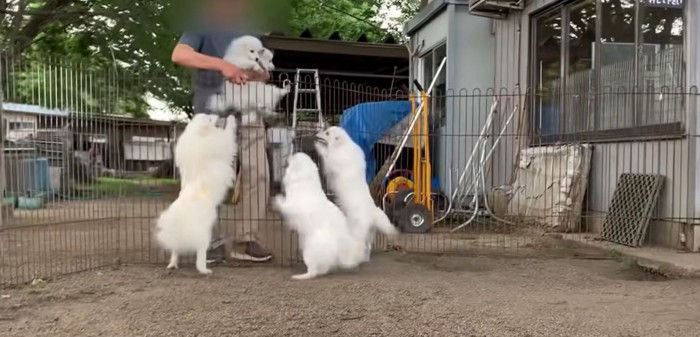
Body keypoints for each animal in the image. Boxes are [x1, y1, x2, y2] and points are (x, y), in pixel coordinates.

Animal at [156, 114, 238, 274]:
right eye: (210, 118)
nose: (217, 114)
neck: (200, 135)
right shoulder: (223, 142)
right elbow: (228, 133)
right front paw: (231, 119)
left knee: (175, 250)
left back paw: (173, 264)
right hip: (204, 236)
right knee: (200, 257)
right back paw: (205, 270)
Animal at [314, 126, 396, 260]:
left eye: (327, 133)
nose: (316, 134)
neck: (343, 145)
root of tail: (373, 214)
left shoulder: (333, 162)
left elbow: (325, 153)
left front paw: (317, 146)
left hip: (358, 231)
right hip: (368, 234)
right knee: (367, 247)